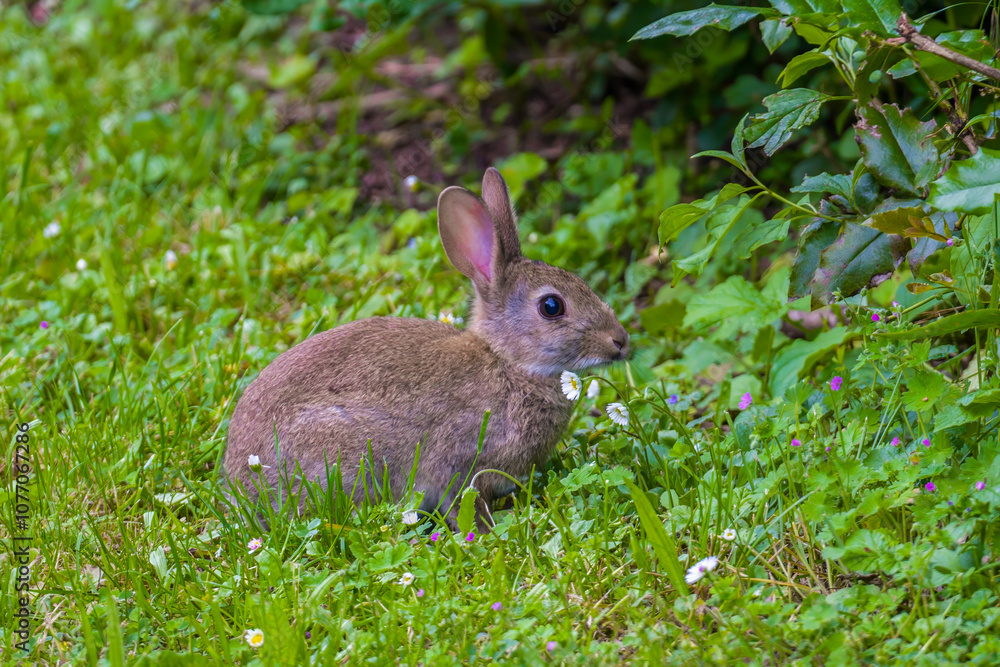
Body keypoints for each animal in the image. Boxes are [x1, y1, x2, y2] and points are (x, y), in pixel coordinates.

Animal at [223, 167, 629, 530]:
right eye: (552, 306)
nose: (620, 341)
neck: (506, 362)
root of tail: (237, 484)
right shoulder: (458, 460)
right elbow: (461, 501)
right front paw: (483, 532)